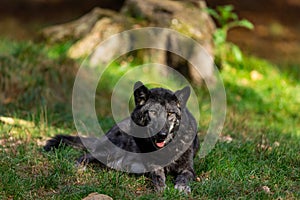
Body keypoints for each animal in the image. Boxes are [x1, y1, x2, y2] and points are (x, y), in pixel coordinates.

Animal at [44, 81, 199, 194]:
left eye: (170, 113)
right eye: (153, 112)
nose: (162, 135)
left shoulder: (188, 169)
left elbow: (184, 177)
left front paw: (182, 187)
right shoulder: (153, 166)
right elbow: (158, 175)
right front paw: (161, 188)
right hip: (113, 149)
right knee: (86, 155)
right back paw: (79, 167)